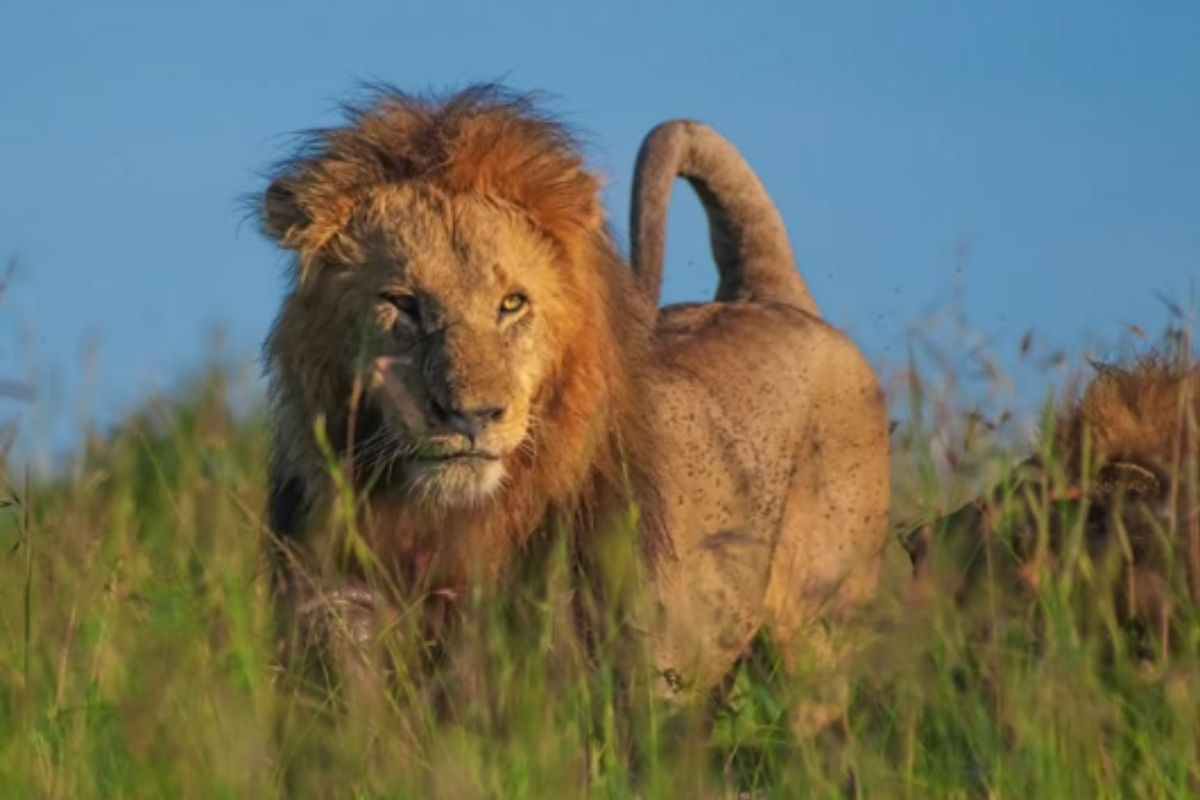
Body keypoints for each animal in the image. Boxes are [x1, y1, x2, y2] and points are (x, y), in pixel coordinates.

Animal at [258, 85, 891, 732]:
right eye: (403, 304)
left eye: (512, 303)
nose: (471, 415)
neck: (448, 524)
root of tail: (769, 297)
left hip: (819, 637)